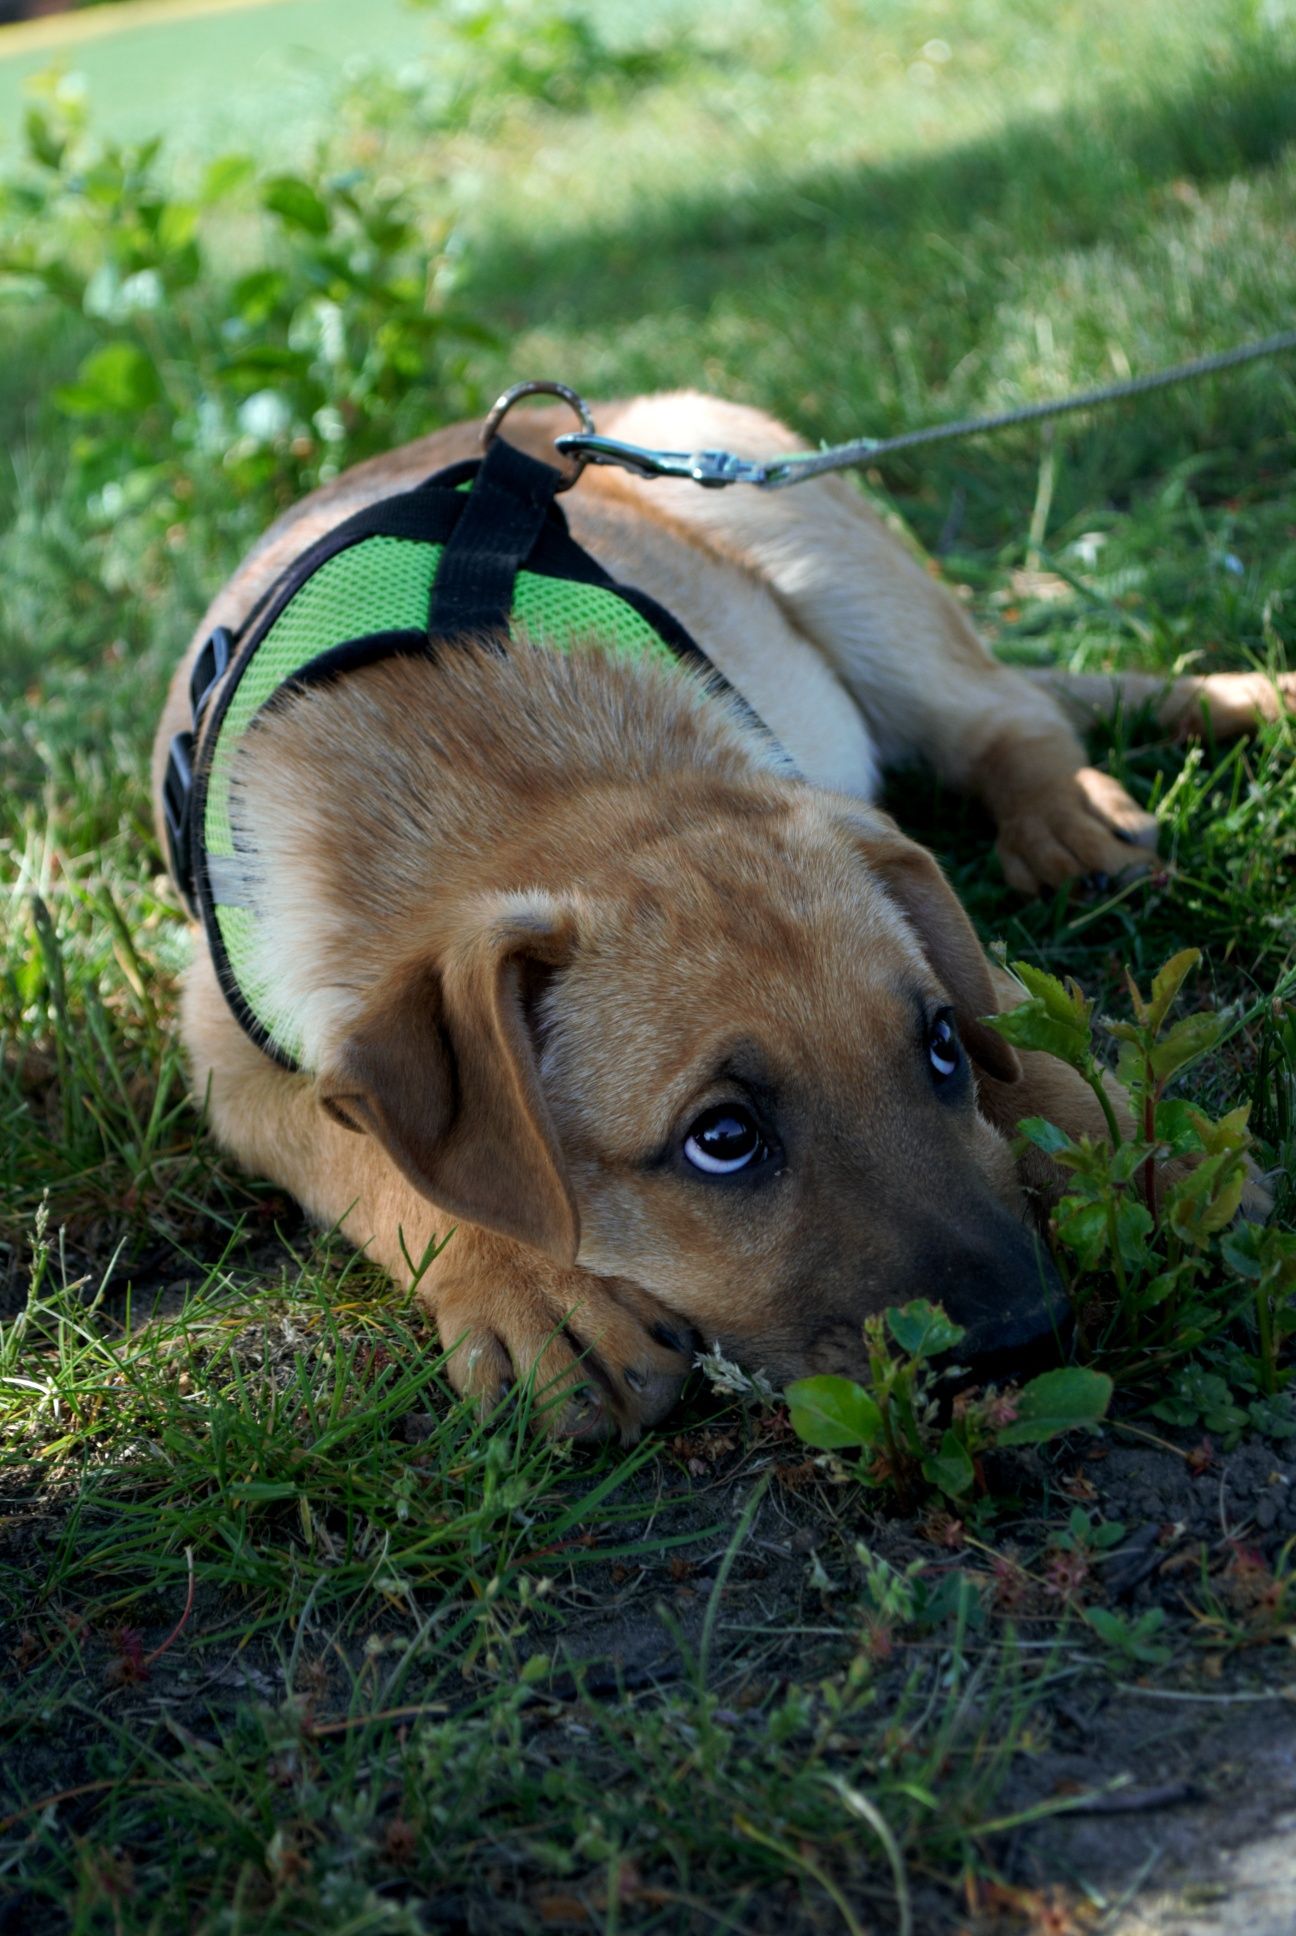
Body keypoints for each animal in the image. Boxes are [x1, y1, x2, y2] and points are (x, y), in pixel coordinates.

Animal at [154, 389, 1294, 1440]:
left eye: (939, 1047)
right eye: (724, 1138)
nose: (1029, 1338)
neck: (497, 761)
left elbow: (1025, 1036)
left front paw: (1145, 1155)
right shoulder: (228, 1057)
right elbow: (381, 1156)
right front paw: (538, 1291)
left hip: (832, 566)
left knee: (1011, 714)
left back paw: (1071, 815)